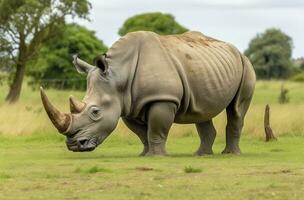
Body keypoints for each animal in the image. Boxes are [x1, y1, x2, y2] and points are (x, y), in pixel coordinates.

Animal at [39, 30, 254, 156]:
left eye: (95, 112)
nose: (74, 145)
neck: (119, 75)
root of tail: (236, 50)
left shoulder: (163, 98)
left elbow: (156, 128)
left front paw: (157, 156)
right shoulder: (127, 104)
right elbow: (142, 133)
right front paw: (144, 154)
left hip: (245, 66)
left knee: (237, 110)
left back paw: (230, 154)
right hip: (208, 67)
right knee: (202, 111)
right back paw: (201, 154)